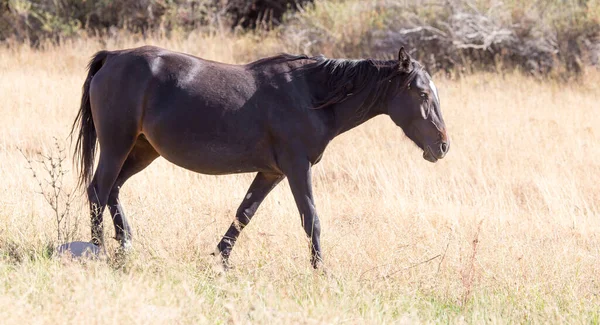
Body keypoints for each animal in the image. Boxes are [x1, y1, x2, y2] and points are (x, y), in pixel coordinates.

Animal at [70, 45, 448, 268]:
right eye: (422, 93)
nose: (443, 146)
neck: (311, 95)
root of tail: (113, 56)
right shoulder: (297, 168)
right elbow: (311, 219)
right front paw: (320, 271)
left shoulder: (272, 173)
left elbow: (244, 214)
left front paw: (220, 260)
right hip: (117, 145)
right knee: (98, 190)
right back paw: (98, 251)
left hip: (141, 150)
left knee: (113, 190)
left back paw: (126, 245)